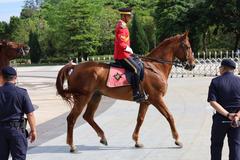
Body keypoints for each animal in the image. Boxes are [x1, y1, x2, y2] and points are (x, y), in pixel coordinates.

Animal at [55, 31, 195, 152]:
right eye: (187, 47)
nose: (192, 65)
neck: (155, 67)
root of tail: (75, 66)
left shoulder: (146, 101)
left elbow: (140, 119)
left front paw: (136, 140)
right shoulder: (156, 98)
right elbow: (169, 116)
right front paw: (177, 139)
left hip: (95, 97)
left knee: (88, 116)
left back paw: (102, 137)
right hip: (82, 98)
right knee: (71, 119)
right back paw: (72, 146)